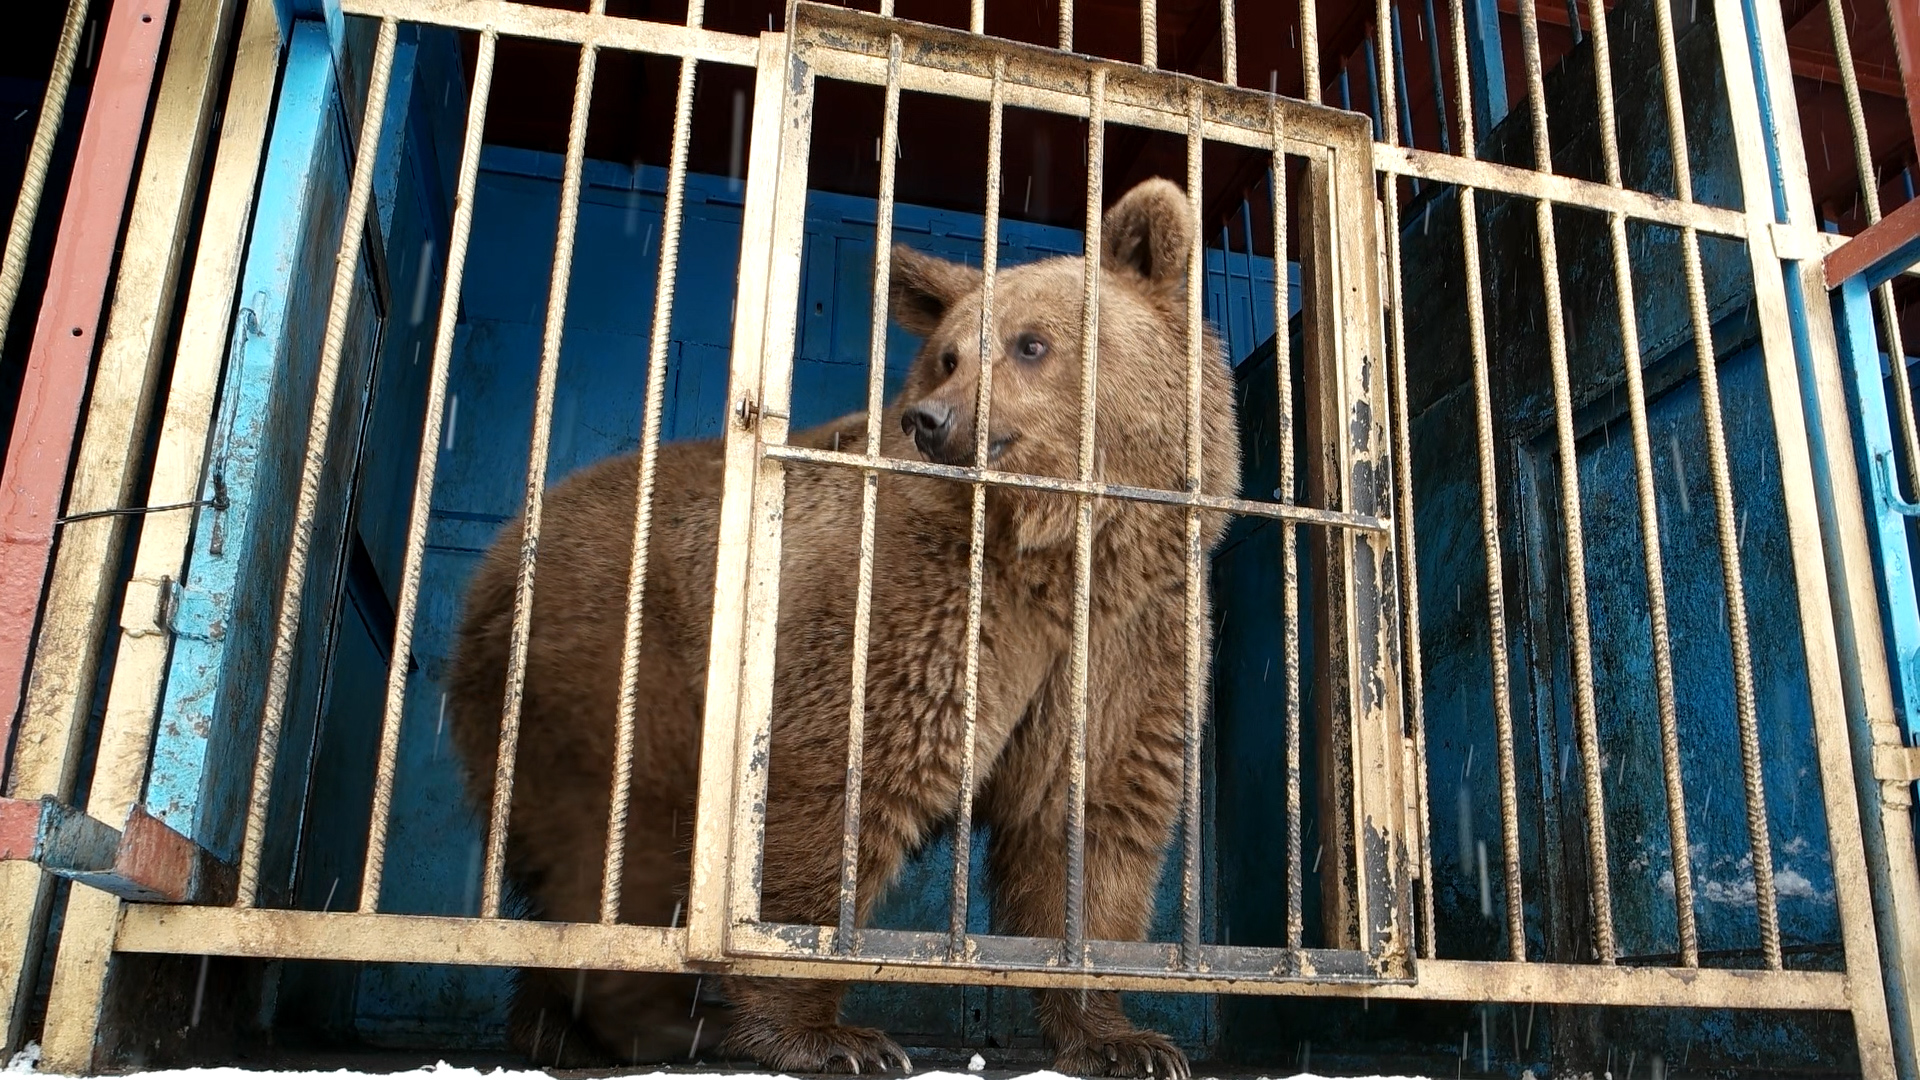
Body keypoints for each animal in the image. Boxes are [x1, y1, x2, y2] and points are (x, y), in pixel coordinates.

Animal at [445, 176, 1240, 1079]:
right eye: (948, 355)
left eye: (1030, 344)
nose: (933, 419)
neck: (1059, 550)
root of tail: (503, 549)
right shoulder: (911, 606)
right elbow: (839, 783)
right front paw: (830, 1036)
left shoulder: (1128, 643)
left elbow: (1090, 829)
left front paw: (1124, 1039)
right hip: (608, 657)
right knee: (618, 842)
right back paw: (656, 1024)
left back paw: (555, 1026)